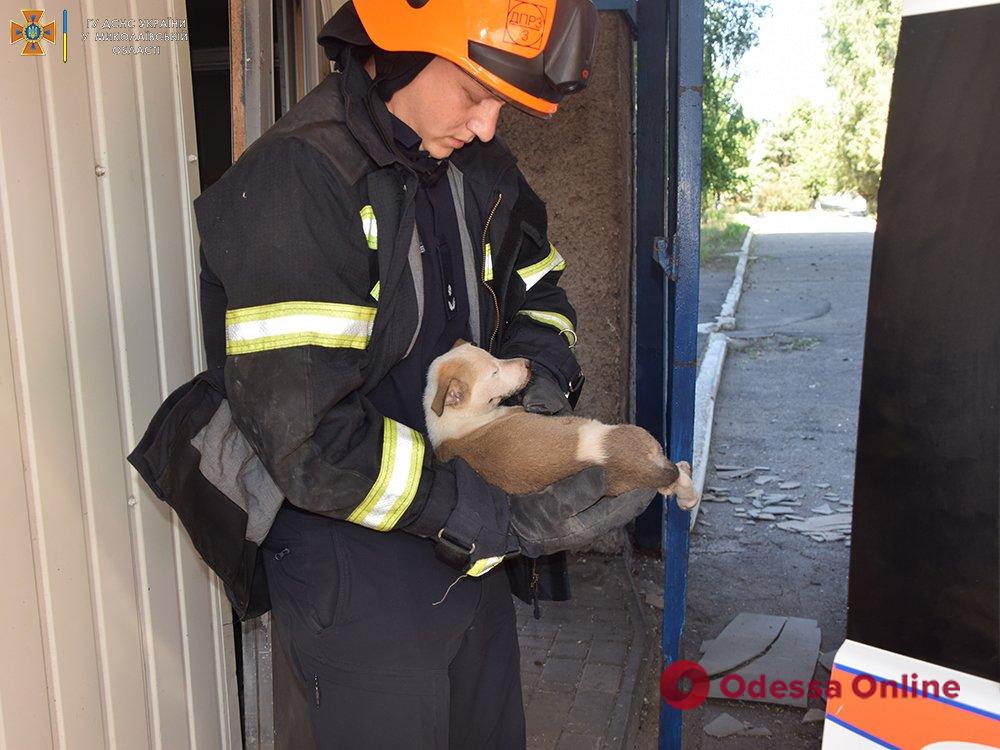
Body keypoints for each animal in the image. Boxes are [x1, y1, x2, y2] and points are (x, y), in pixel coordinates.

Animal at [422, 342, 696, 512]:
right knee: (675, 475)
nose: (528, 363)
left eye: (494, 357)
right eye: (494, 373)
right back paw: (685, 477)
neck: (453, 417)